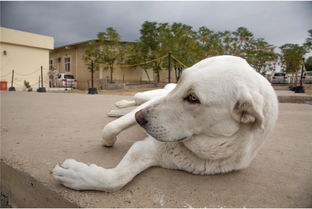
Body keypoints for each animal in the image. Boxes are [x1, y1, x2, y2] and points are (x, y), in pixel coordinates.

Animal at [52, 55, 280, 191]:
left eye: (193, 98)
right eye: (181, 82)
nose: (140, 119)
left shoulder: (148, 152)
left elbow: (117, 178)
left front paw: (76, 175)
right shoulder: (149, 109)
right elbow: (109, 130)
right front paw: (108, 141)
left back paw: (116, 110)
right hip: (146, 96)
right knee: (133, 102)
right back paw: (118, 106)